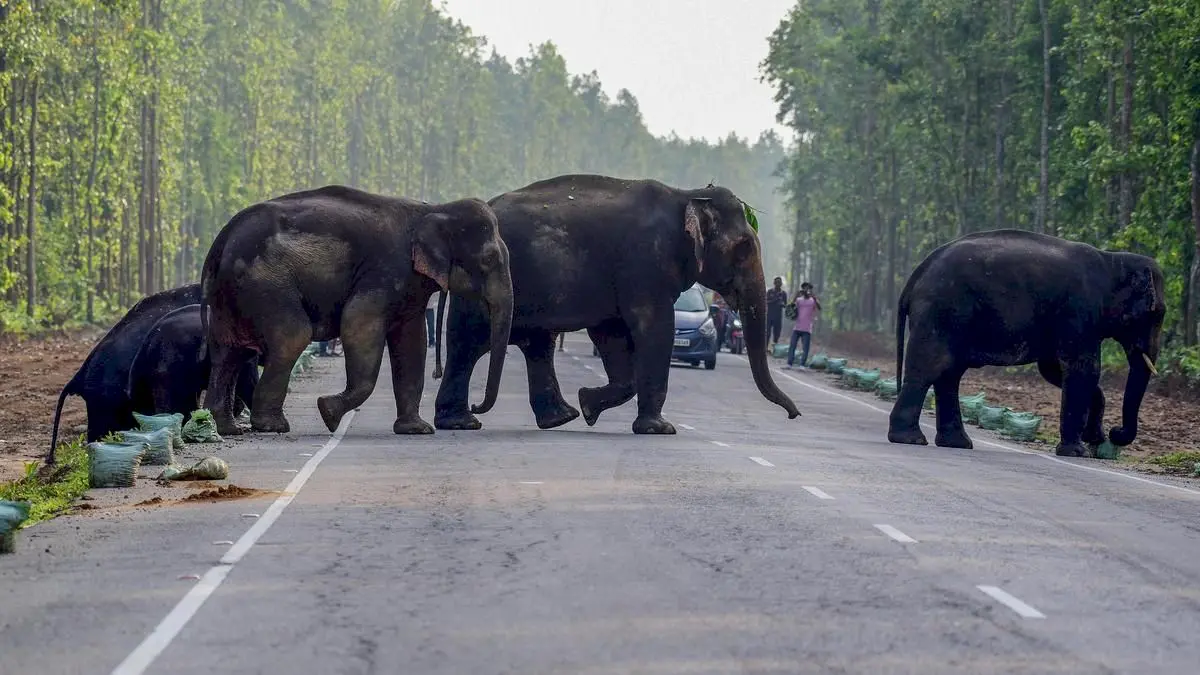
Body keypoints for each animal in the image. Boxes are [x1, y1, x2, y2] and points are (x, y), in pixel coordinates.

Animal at [199, 184, 514, 437]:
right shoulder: (384, 271)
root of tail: (221, 240)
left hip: (231, 296)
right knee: (292, 336)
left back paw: (227, 428)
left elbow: (412, 341)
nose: (475, 405)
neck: (434, 210)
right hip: (266, 283)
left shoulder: (409, 285)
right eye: (489, 259)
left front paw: (417, 430)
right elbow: (358, 324)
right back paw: (272, 426)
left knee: (228, 352)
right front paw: (327, 411)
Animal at [432, 173, 801, 435]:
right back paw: (466, 422)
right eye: (743, 248)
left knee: (533, 345)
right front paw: (660, 430)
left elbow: (613, 336)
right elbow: (655, 329)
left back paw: (557, 417)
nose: (794, 414)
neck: (688, 195)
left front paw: (588, 405)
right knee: (471, 343)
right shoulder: (644, 262)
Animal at [887, 229, 1165, 457]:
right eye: (1157, 314)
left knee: (949, 374)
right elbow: (1083, 369)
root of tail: (917, 274)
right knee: (930, 367)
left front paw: (1094, 440)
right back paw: (911, 440)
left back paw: (957, 444)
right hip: (941, 311)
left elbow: (1053, 370)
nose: (1115, 433)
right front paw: (1079, 452)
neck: (1112, 261)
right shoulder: (1079, 312)